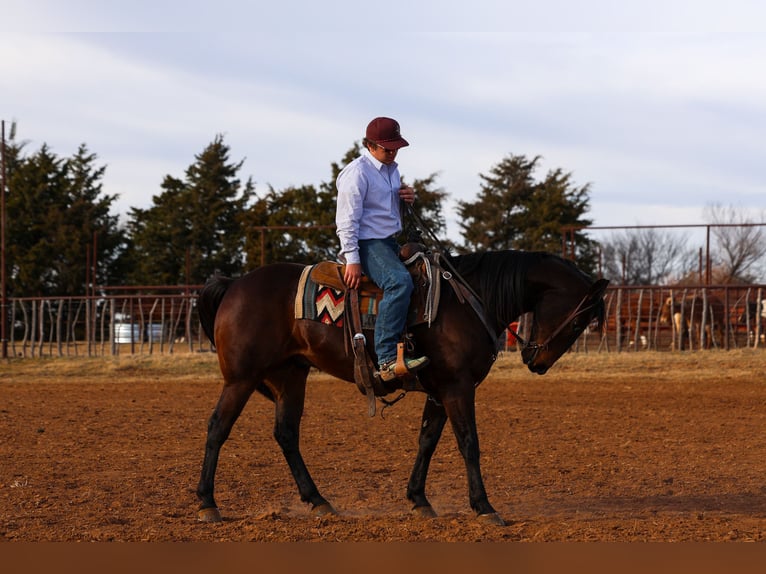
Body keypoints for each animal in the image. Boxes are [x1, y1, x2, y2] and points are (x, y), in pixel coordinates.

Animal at [195, 250, 609, 525]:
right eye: (579, 322)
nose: (537, 362)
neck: (467, 299)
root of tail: (234, 284)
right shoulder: (458, 388)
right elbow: (468, 443)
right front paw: (484, 506)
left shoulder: (441, 391)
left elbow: (427, 441)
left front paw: (419, 499)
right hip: (241, 379)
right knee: (217, 428)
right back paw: (207, 503)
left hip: (291, 376)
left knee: (286, 434)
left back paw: (318, 500)